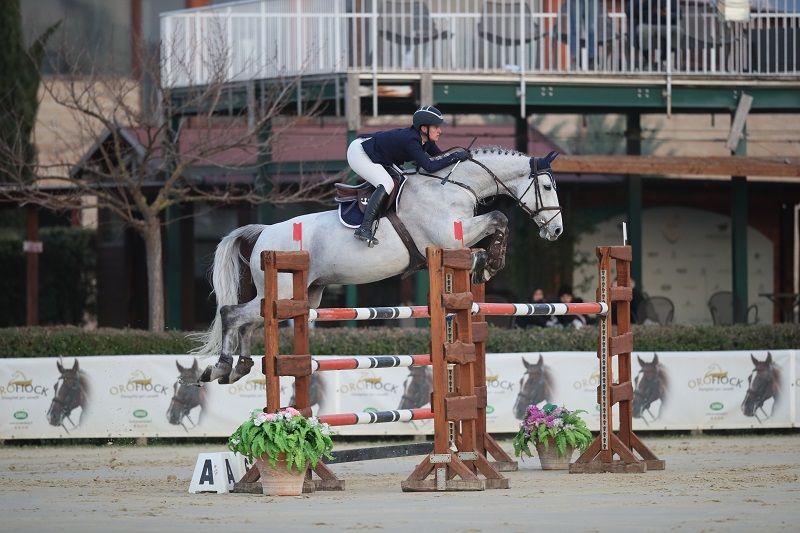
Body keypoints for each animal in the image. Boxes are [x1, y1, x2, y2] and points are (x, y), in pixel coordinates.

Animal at [192, 148, 563, 383]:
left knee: (248, 322)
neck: (454, 187)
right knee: (232, 314)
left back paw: (240, 367)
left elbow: (498, 220)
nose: (556, 230)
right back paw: (222, 368)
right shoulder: (447, 236)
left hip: (303, 296)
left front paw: (488, 262)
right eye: (547, 186)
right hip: (282, 292)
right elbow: (498, 217)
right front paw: (486, 262)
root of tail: (265, 232)